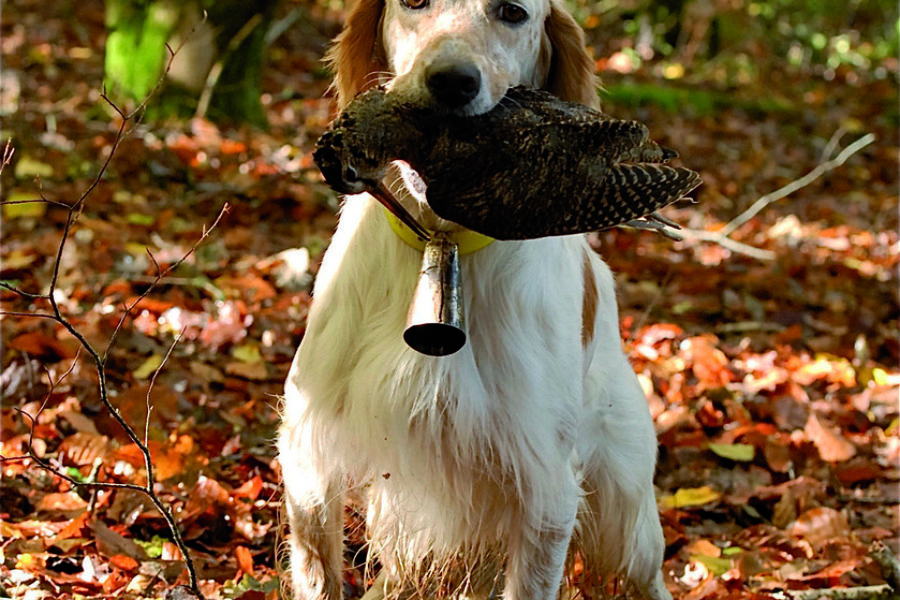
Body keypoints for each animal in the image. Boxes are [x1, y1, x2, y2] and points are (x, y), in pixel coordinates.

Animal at [278, 0, 672, 596]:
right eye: (413, 3)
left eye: (512, 12)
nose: (452, 82)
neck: (443, 237)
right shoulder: (310, 462)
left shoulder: (545, 495)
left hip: (625, 520)